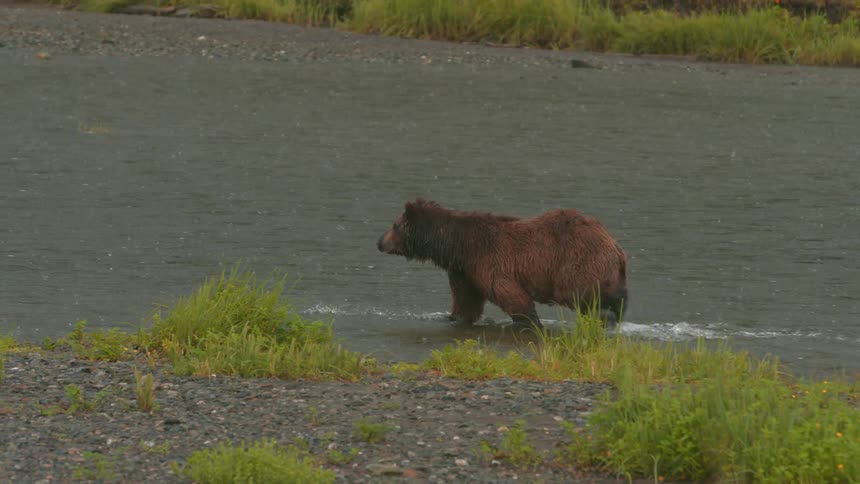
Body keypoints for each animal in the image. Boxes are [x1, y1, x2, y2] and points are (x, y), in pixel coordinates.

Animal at [377, 199, 628, 327]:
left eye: (395, 226)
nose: (379, 242)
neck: (458, 246)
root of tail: (615, 244)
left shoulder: (488, 261)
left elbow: (511, 295)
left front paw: (529, 321)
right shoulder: (464, 271)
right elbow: (466, 302)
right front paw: (451, 317)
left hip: (577, 259)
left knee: (577, 292)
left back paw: (609, 312)